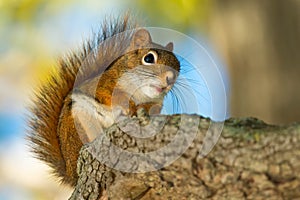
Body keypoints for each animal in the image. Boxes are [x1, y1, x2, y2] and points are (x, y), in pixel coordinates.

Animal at [27, 14, 180, 188]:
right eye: (148, 58)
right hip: (80, 122)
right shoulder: (104, 85)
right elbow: (114, 96)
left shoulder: (156, 102)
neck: (141, 93)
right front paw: (128, 107)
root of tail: (70, 174)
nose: (170, 78)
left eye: (178, 67)